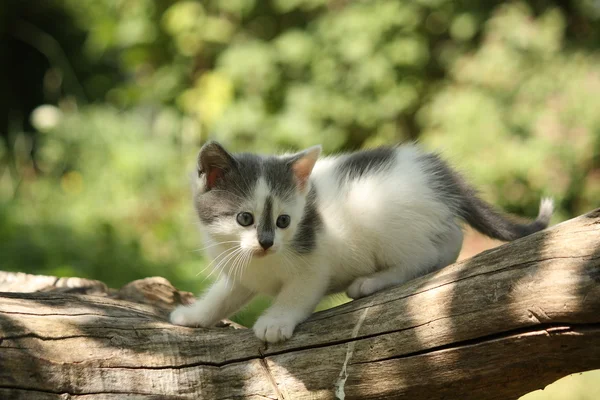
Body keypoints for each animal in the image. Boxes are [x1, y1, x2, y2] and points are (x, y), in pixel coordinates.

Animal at [170, 142, 552, 342]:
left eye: (283, 221)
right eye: (245, 219)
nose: (266, 243)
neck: (262, 261)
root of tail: (439, 176)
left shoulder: (314, 264)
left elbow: (297, 292)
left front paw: (276, 321)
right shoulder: (242, 271)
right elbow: (225, 295)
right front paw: (195, 315)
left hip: (387, 219)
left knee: (437, 251)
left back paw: (373, 281)